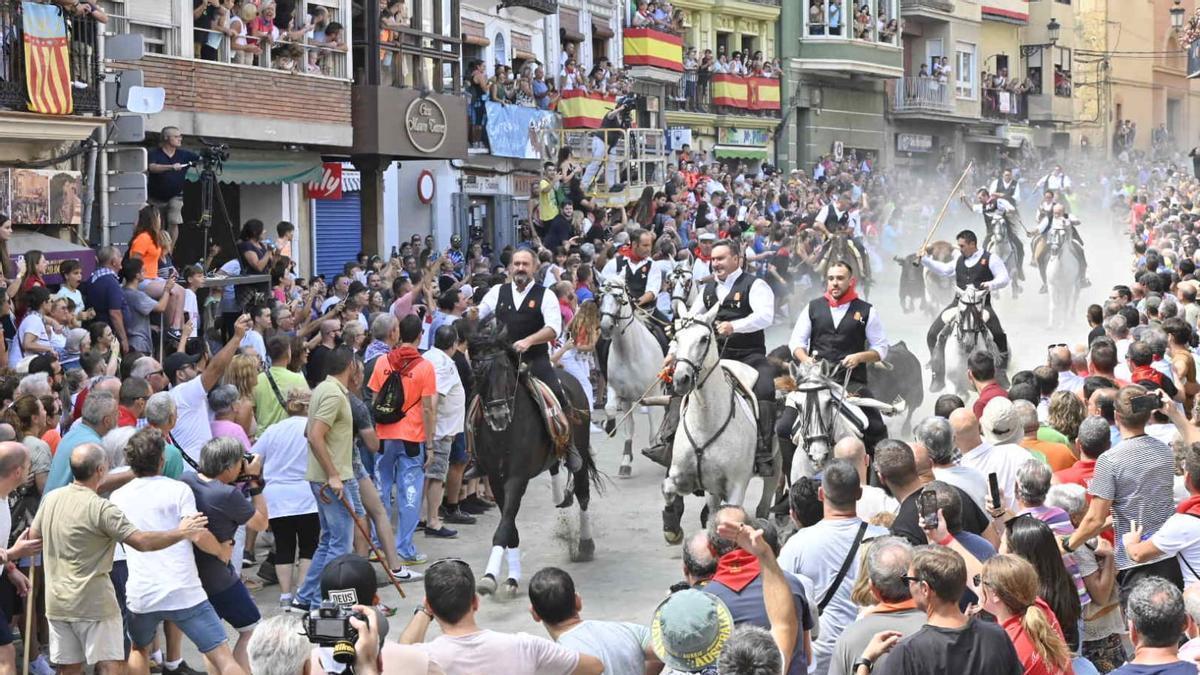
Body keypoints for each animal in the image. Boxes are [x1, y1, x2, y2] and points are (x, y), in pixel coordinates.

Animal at [468, 319, 600, 593]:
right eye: (477, 371)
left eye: (506, 369)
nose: (499, 415)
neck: (503, 433)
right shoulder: (496, 479)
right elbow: (509, 527)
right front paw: (506, 578)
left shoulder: (517, 478)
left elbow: (505, 525)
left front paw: (490, 577)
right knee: (556, 471)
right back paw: (560, 498)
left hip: (581, 452)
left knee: (583, 493)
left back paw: (585, 545)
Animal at [600, 276, 667, 475]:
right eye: (601, 296)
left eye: (618, 297)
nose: (605, 327)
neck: (629, 354)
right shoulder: (620, 394)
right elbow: (612, 411)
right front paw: (610, 428)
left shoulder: (652, 395)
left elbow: (653, 430)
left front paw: (657, 453)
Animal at [667, 299, 758, 540]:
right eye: (676, 338)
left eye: (703, 339)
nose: (681, 379)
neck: (706, 423)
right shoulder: (689, 477)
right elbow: (669, 488)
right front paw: (671, 526)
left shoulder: (737, 485)